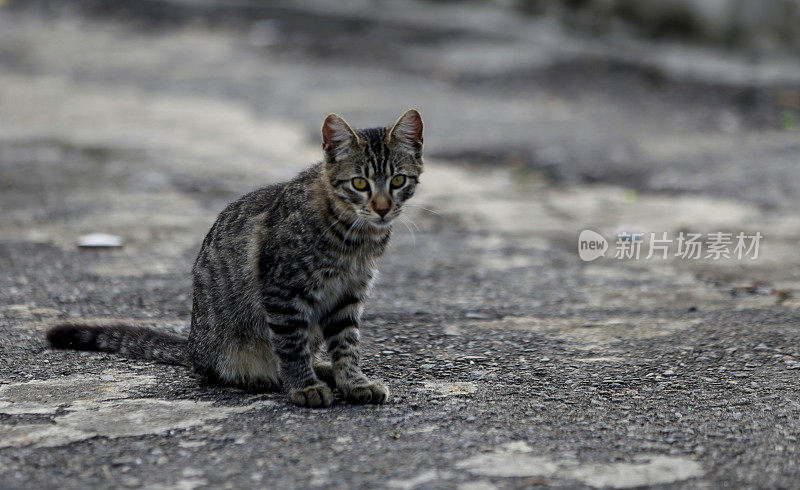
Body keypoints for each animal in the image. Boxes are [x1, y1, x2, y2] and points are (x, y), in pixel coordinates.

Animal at [48, 109, 424, 408]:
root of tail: (193, 348)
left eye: (397, 180)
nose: (382, 208)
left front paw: (352, 381)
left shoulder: (348, 294)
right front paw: (304, 386)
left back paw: (323, 369)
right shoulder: (282, 290)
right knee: (231, 369)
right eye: (359, 183)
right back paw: (263, 376)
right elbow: (291, 344)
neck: (356, 237)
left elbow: (346, 343)